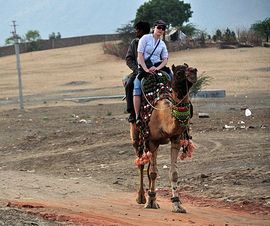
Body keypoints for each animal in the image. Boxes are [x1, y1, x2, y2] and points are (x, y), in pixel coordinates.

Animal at [130, 64, 197, 214]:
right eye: (179, 72)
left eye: (190, 68)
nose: (193, 71)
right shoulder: (152, 141)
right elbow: (153, 173)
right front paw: (150, 202)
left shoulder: (176, 139)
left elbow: (174, 173)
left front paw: (177, 205)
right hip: (137, 137)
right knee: (141, 163)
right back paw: (141, 197)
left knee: (149, 165)